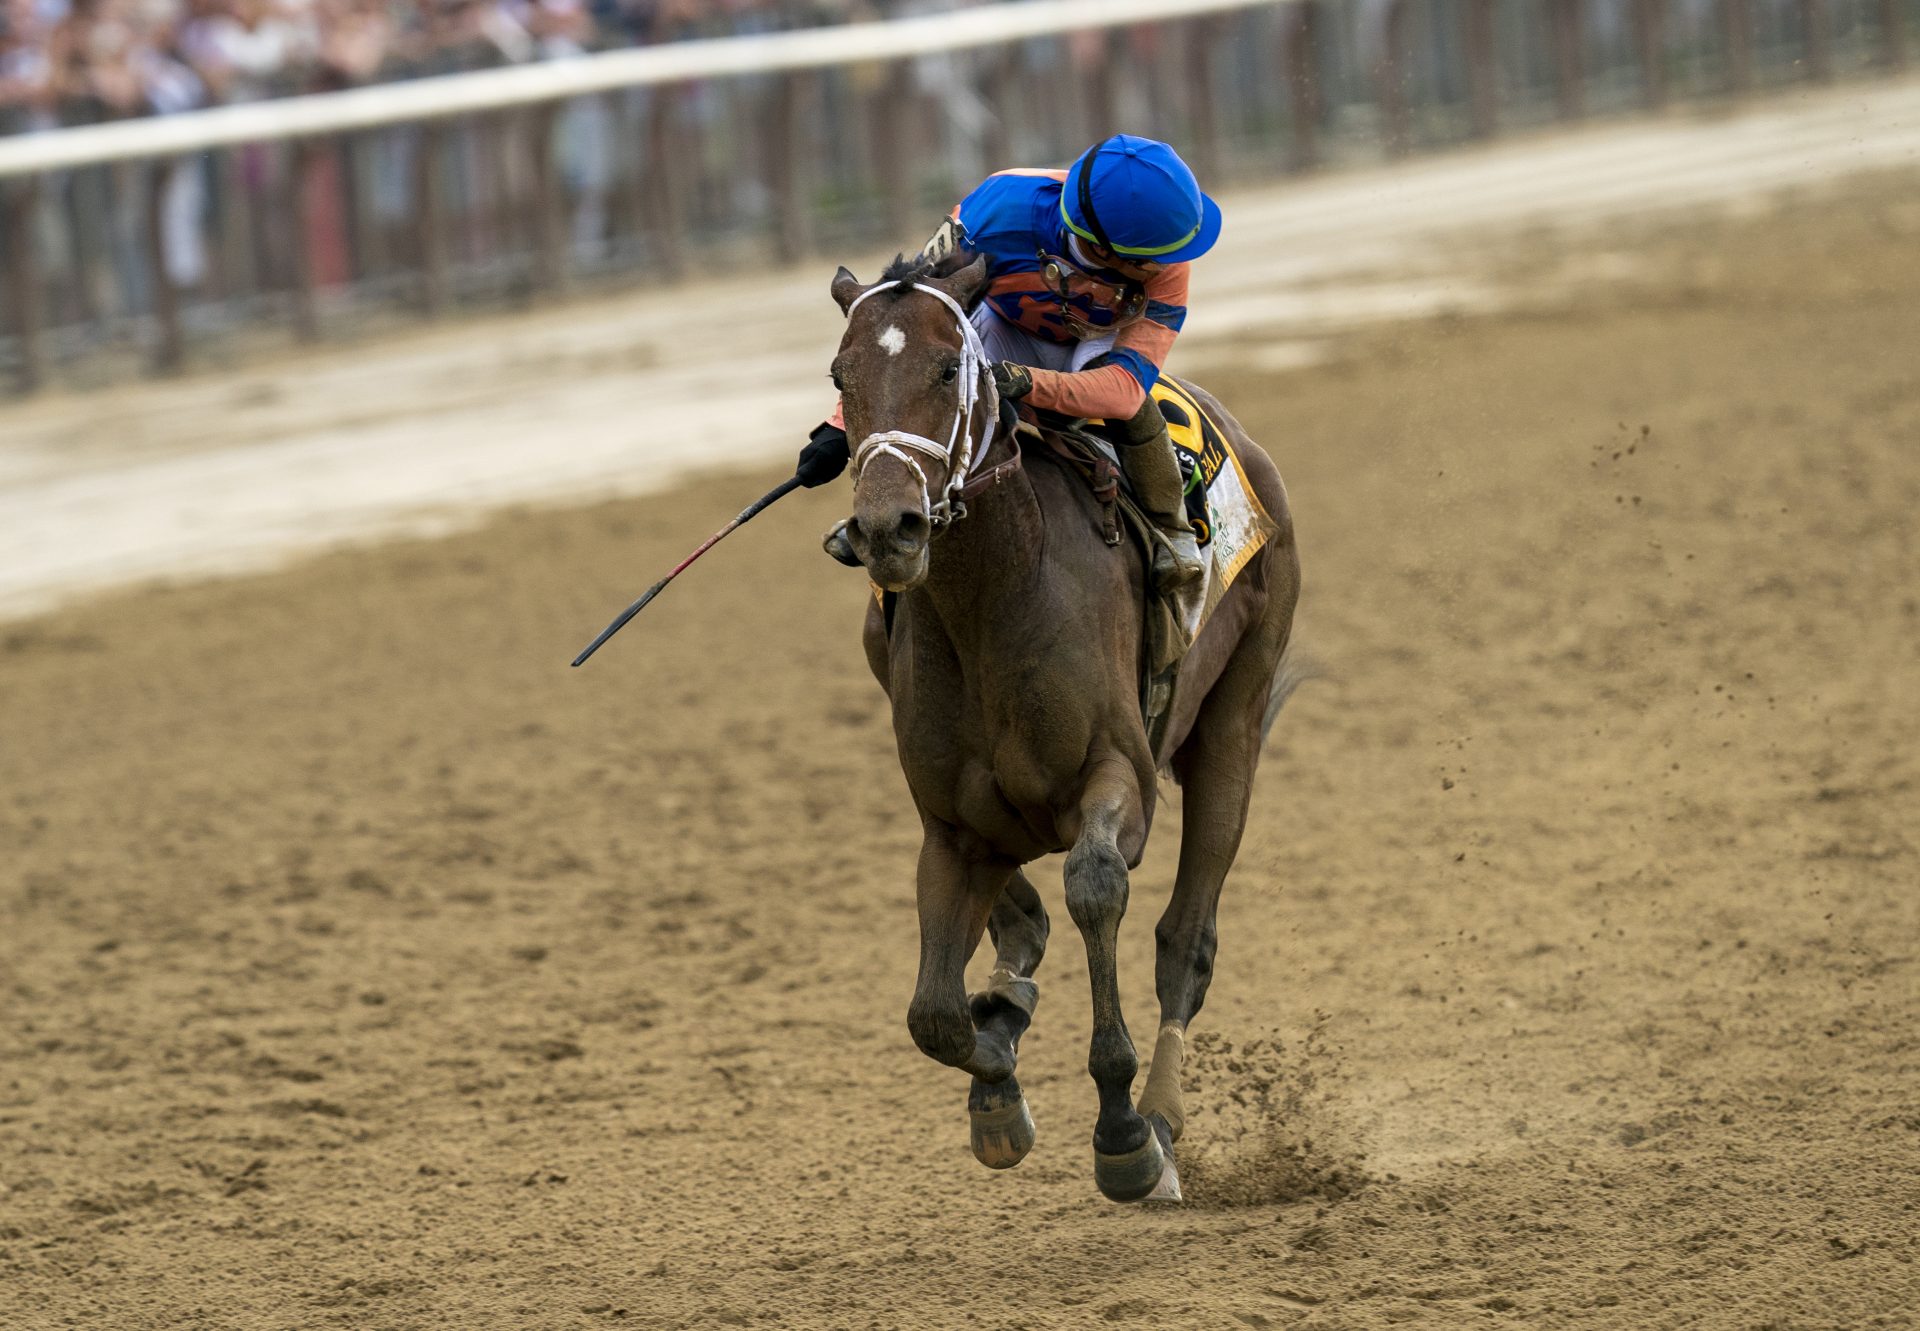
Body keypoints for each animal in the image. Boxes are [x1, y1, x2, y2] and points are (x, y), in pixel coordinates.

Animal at [829, 249, 1305, 1206]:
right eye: (839, 375)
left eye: (949, 366)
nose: (887, 526)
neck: (996, 594)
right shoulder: (952, 827)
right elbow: (935, 1014)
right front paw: (998, 1086)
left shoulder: (1120, 776)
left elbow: (1095, 884)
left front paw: (1122, 1132)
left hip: (1234, 722)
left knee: (1186, 940)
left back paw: (1159, 1121)